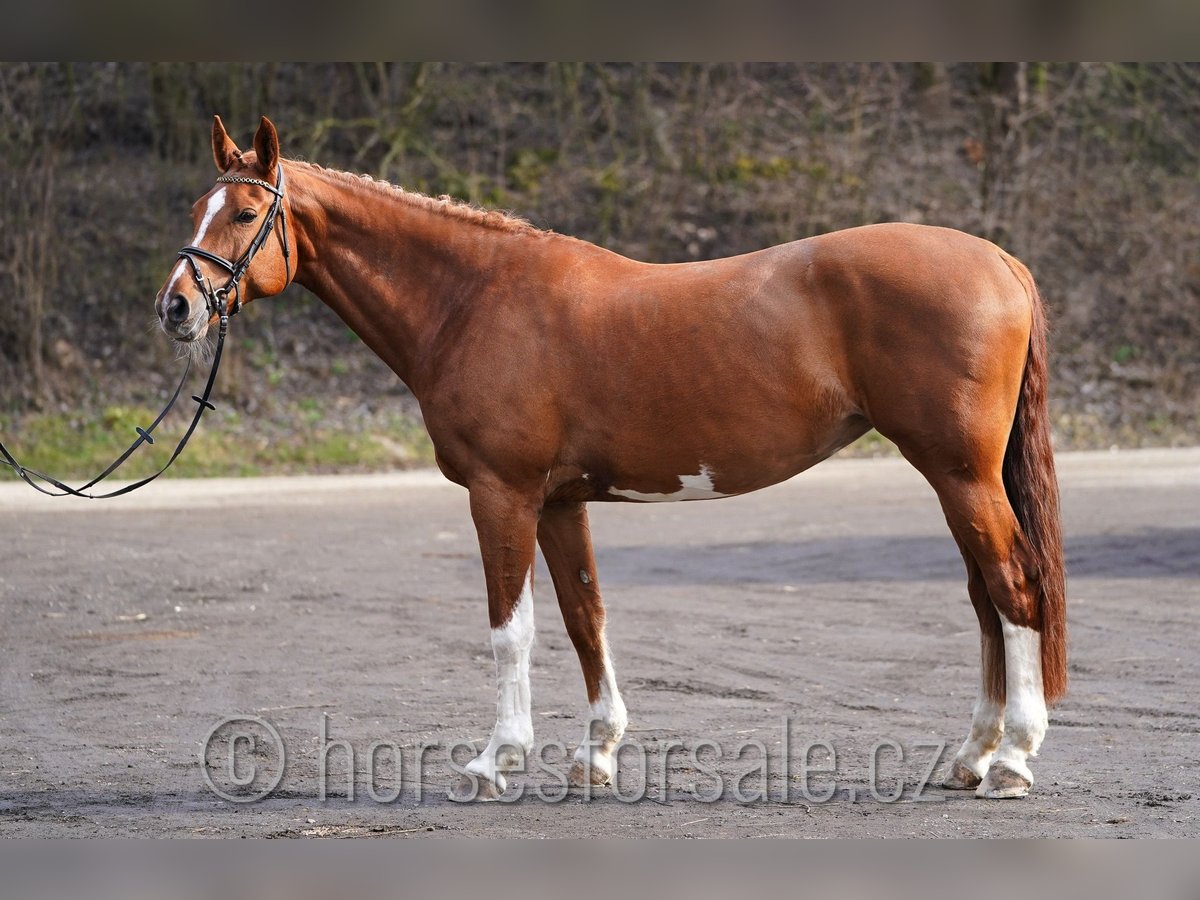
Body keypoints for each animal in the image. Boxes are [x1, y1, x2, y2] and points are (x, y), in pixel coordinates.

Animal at [154, 118, 1065, 801]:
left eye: (244, 214)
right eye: (197, 205)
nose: (175, 307)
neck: (473, 298)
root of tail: (1000, 259)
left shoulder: (502, 494)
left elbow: (510, 630)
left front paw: (495, 761)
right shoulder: (560, 501)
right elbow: (584, 616)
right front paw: (596, 754)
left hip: (958, 475)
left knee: (1013, 588)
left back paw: (1014, 760)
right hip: (959, 479)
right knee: (986, 599)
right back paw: (973, 755)